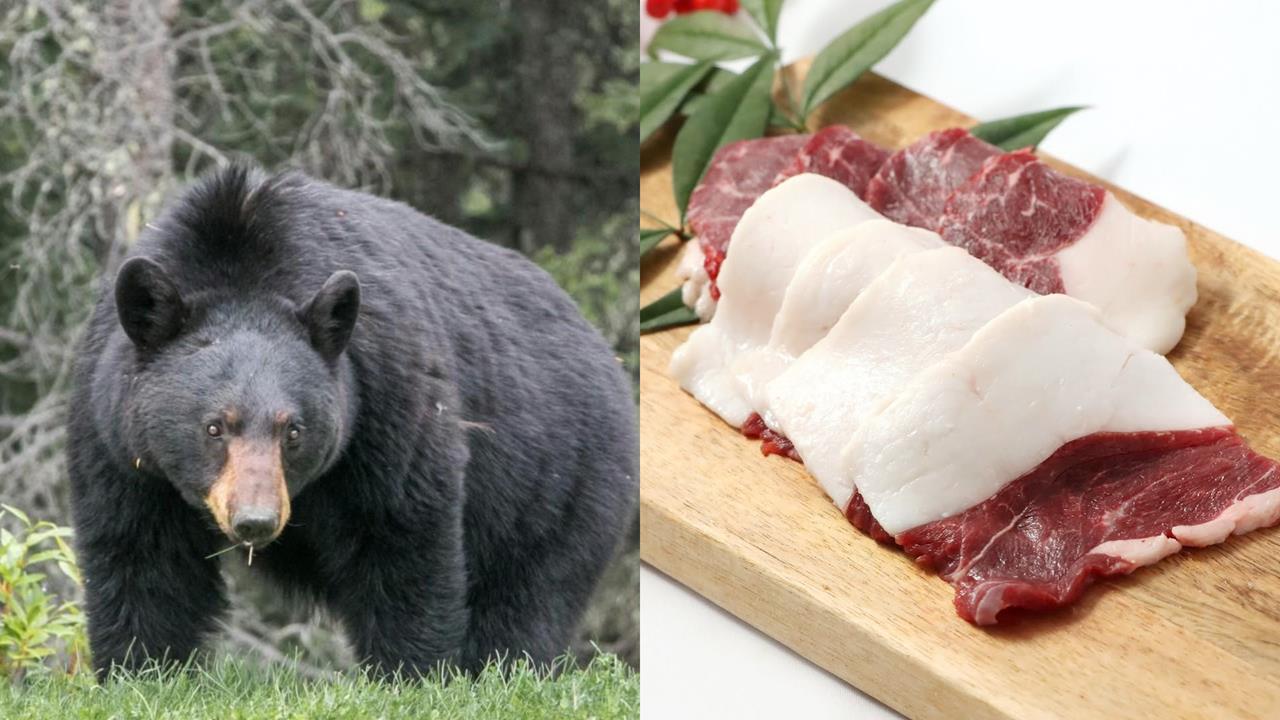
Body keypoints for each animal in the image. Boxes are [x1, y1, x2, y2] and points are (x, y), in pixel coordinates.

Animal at [66, 164, 637, 678]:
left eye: (292, 430)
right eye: (214, 427)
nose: (255, 520)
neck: (241, 255)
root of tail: (603, 351)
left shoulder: (386, 396)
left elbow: (401, 536)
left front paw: (411, 674)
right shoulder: (116, 433)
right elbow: (144, 555)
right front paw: (141, 670)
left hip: (560, 481)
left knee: (529, 597)